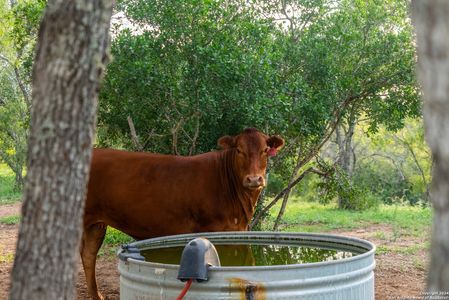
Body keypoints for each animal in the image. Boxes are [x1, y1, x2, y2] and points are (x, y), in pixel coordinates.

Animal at [80, 127, 284, 298]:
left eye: (265, 150)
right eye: (239, 150)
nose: (254, 179)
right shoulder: (214, 230)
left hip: (96, 224)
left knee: (88, 255)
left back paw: (97, 296)